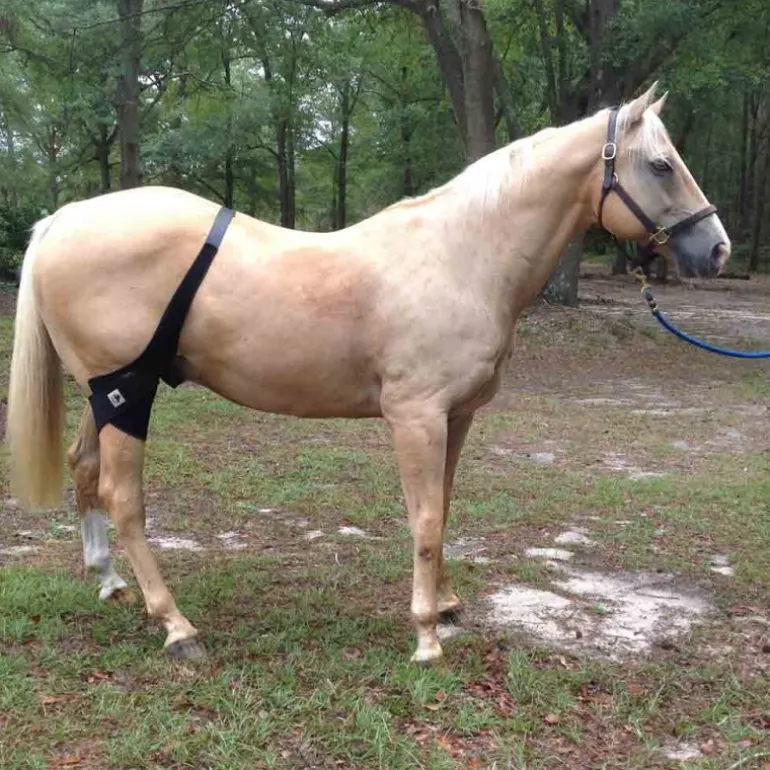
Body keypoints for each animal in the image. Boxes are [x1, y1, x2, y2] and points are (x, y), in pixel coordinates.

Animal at [6, 82, 730, 665]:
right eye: (661, 164)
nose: (717, 249)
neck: (460, 256)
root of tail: (63, 219)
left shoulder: (456, 418)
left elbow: (444, 508)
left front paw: (446, 606)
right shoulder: (416, 418)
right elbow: (426, 520)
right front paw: (427, 637)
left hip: (108, 393)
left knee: (85, 470)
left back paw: (109, 581)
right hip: (128, 393)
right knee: (124, 499)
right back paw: (177, 627)